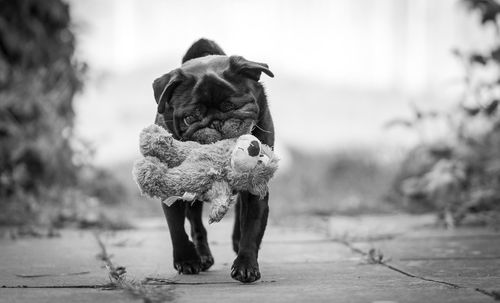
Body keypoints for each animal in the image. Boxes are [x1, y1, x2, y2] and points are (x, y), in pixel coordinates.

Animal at [152, 38, 276, 284]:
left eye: (232, 106)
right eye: (191, 117)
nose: (216, 122)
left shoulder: (257, 189)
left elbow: (252, 225)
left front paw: (246, 264)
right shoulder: (171, 189)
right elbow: (176, 228)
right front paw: (186, 260)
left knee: (240, 212)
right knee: (195, 223)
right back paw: (202, 256)